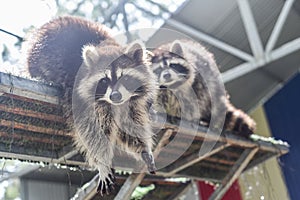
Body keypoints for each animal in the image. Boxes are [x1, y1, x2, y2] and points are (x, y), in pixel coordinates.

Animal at [25, 15, 157, 195]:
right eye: (104, 81)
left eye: (124, 78)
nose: (115, 96)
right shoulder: (78, 100)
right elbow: (91, 132)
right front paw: (102, 163)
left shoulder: (130, 103)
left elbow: (131, 126)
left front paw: (144, 148)